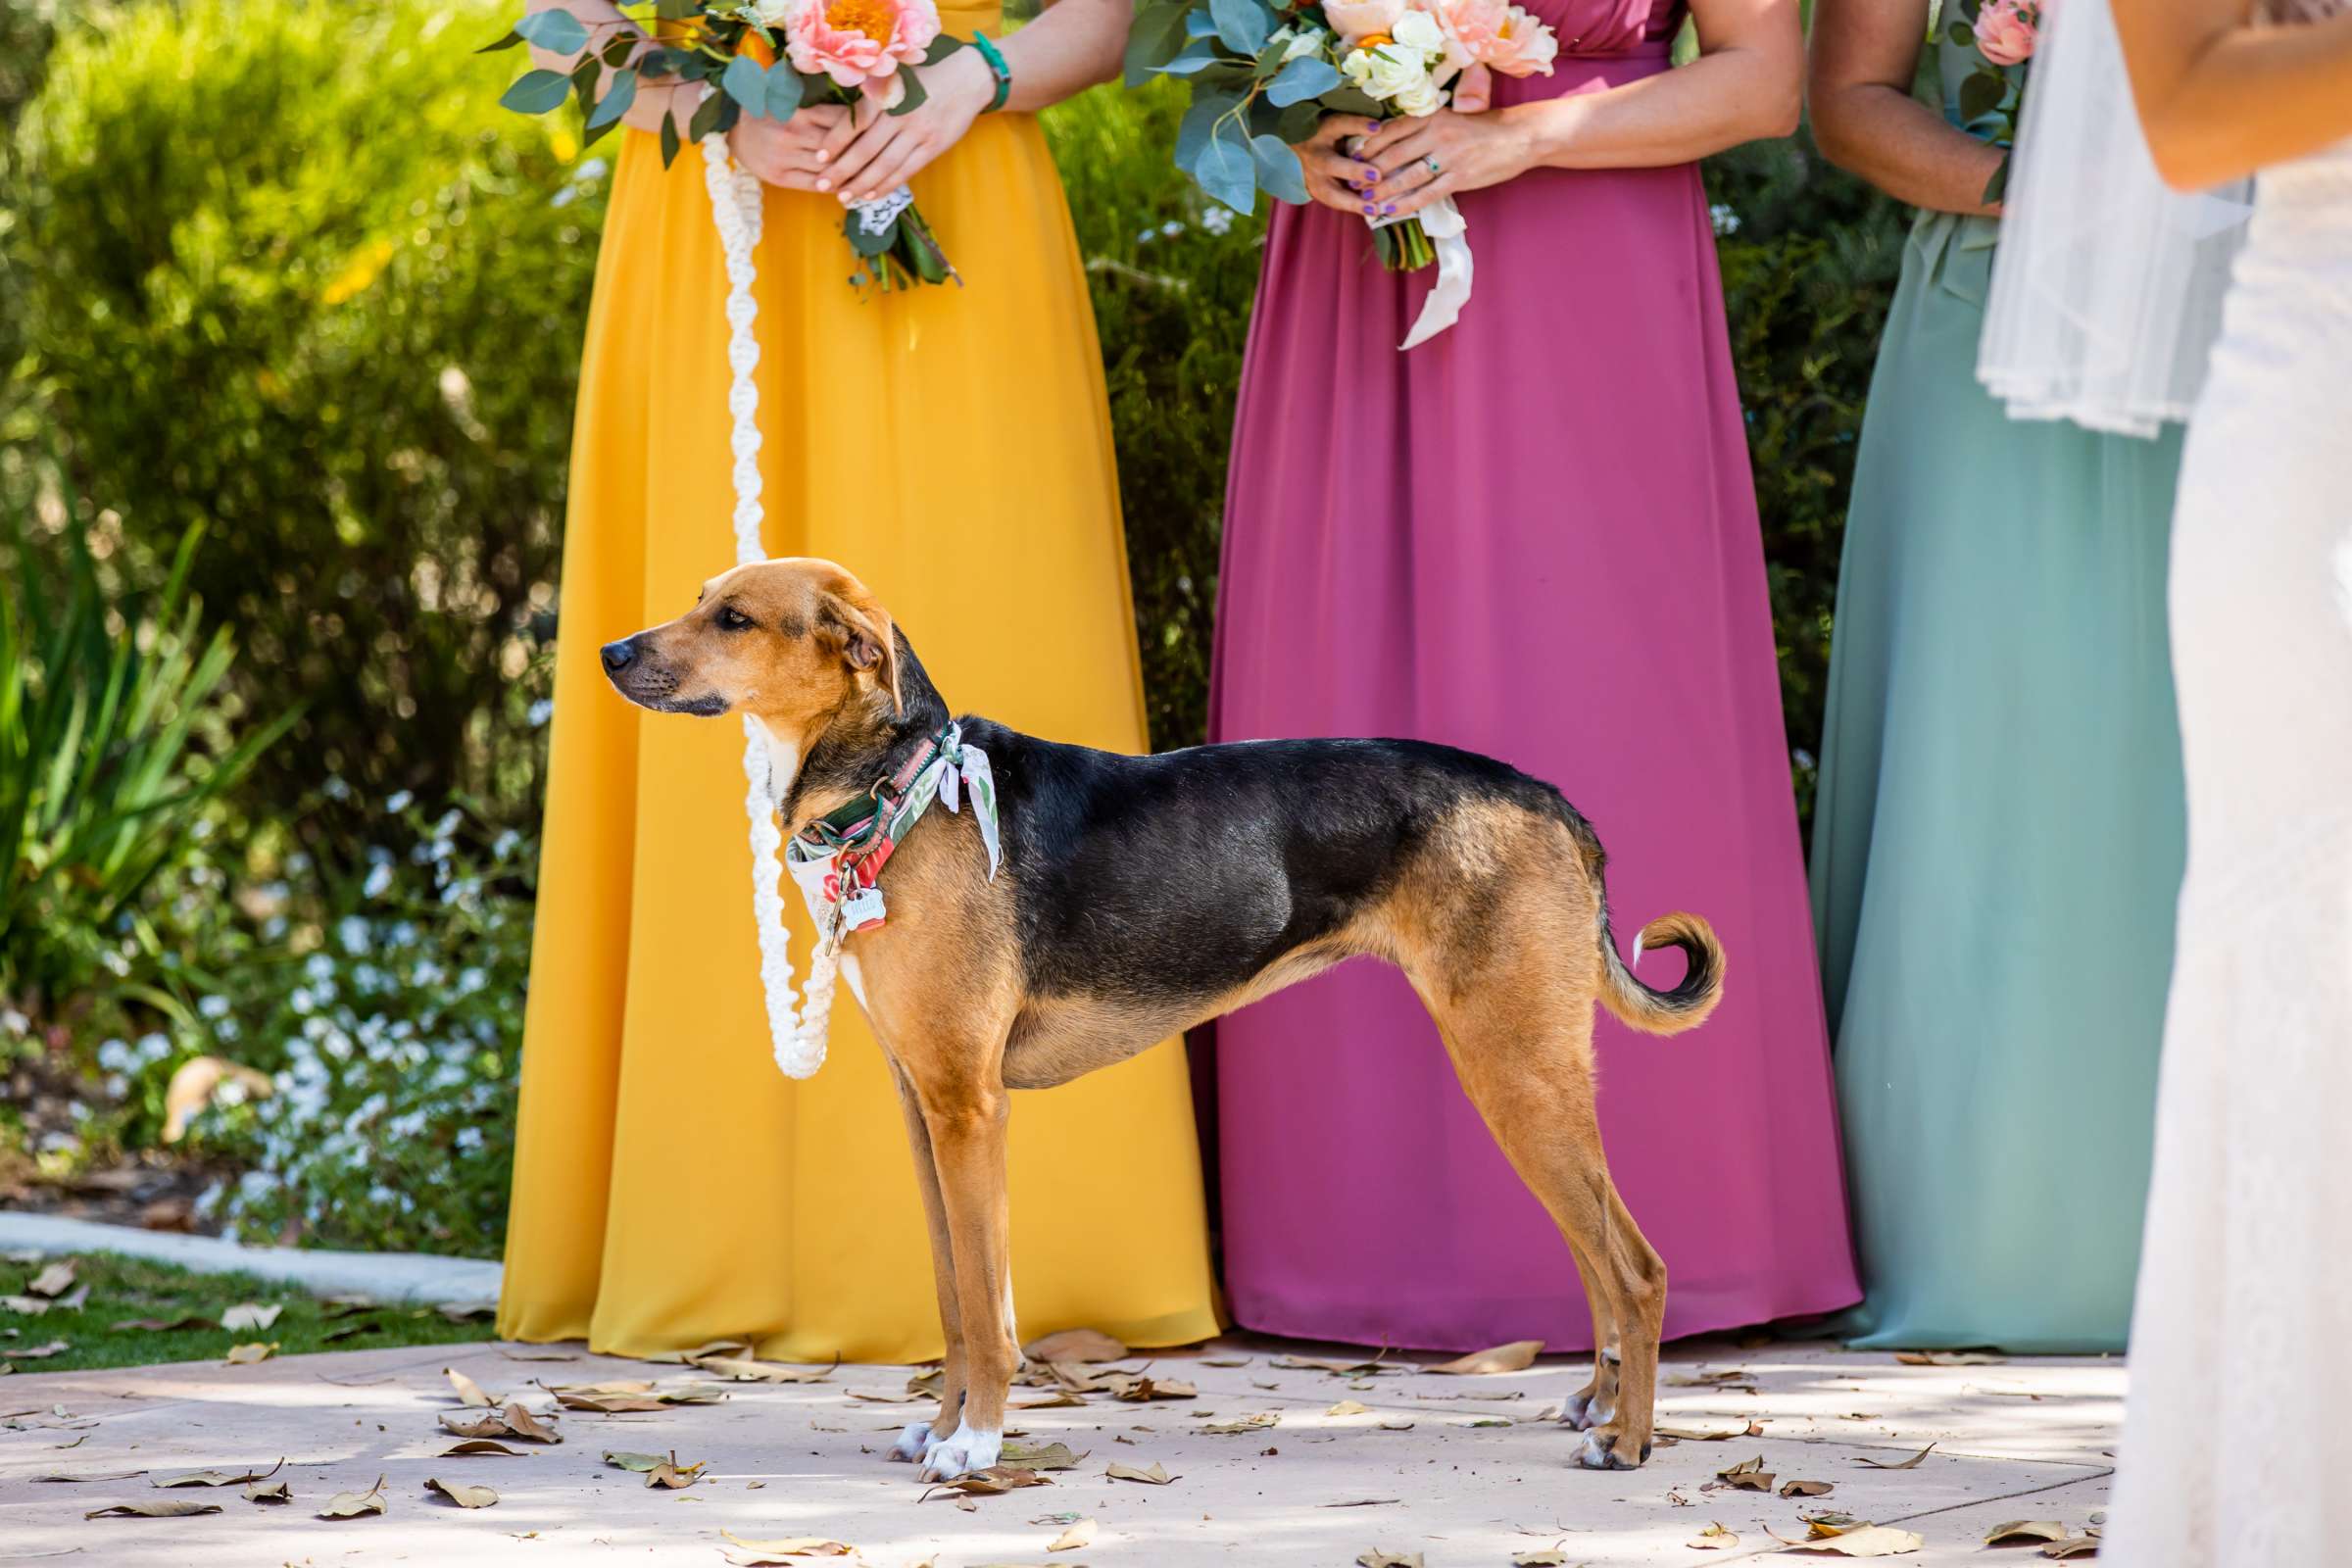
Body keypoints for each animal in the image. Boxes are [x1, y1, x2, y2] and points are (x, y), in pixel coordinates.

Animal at [597, 557, 1721, 1476]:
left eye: (734, 618)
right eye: (701, 598)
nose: (608, 651)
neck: (902, 784)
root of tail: (1552, 802)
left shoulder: (970, 1109)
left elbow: (987, 1304)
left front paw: (978, 1441)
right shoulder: (924, 1108)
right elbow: (953, 1298)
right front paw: (945, 1423)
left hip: (1512, 1070)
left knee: (1638, 1268)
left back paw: (1628, 1442)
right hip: (1526, 1077)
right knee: (1597, 1257)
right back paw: (1597, 1405)